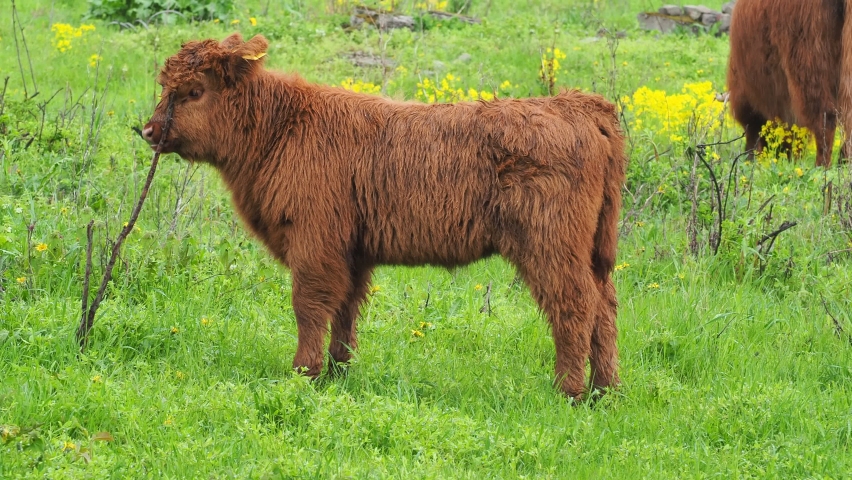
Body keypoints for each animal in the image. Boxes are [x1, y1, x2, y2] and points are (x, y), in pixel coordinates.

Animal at [142, 33, 626, 400]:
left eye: (194, 91)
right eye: (166, 87)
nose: (148, 130)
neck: (280, 129)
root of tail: (575, 104)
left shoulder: (315, 243)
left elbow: (309, 307)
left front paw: (303, 374)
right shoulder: (351, 253)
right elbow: (345, 310)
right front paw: (337, 373)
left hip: (550, 245)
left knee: (574, 305)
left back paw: (568, 392)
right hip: (590, 253)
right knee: (605, 307)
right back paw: (606, 391)